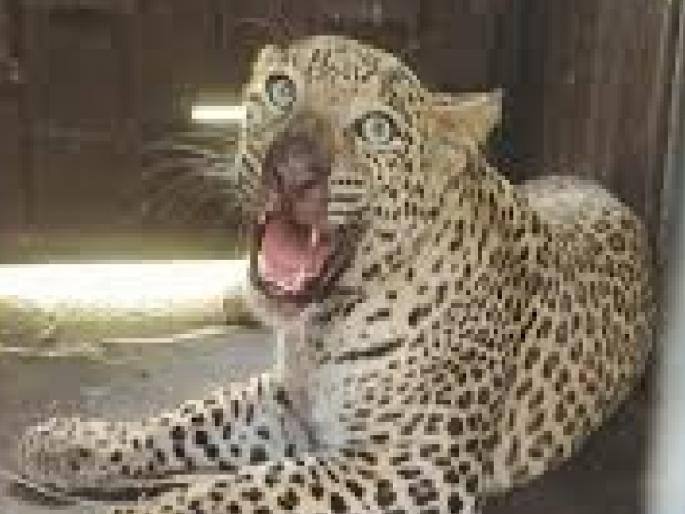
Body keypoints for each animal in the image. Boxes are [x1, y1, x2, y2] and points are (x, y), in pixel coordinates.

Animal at [16, 35, 655, 514]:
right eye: (281, 90)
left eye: (376, 128)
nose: (291, 170)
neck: (320, 326)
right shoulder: (283, 400)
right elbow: (186, 420)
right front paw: (65, 442)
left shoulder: (409, 466)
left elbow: (235, 491)